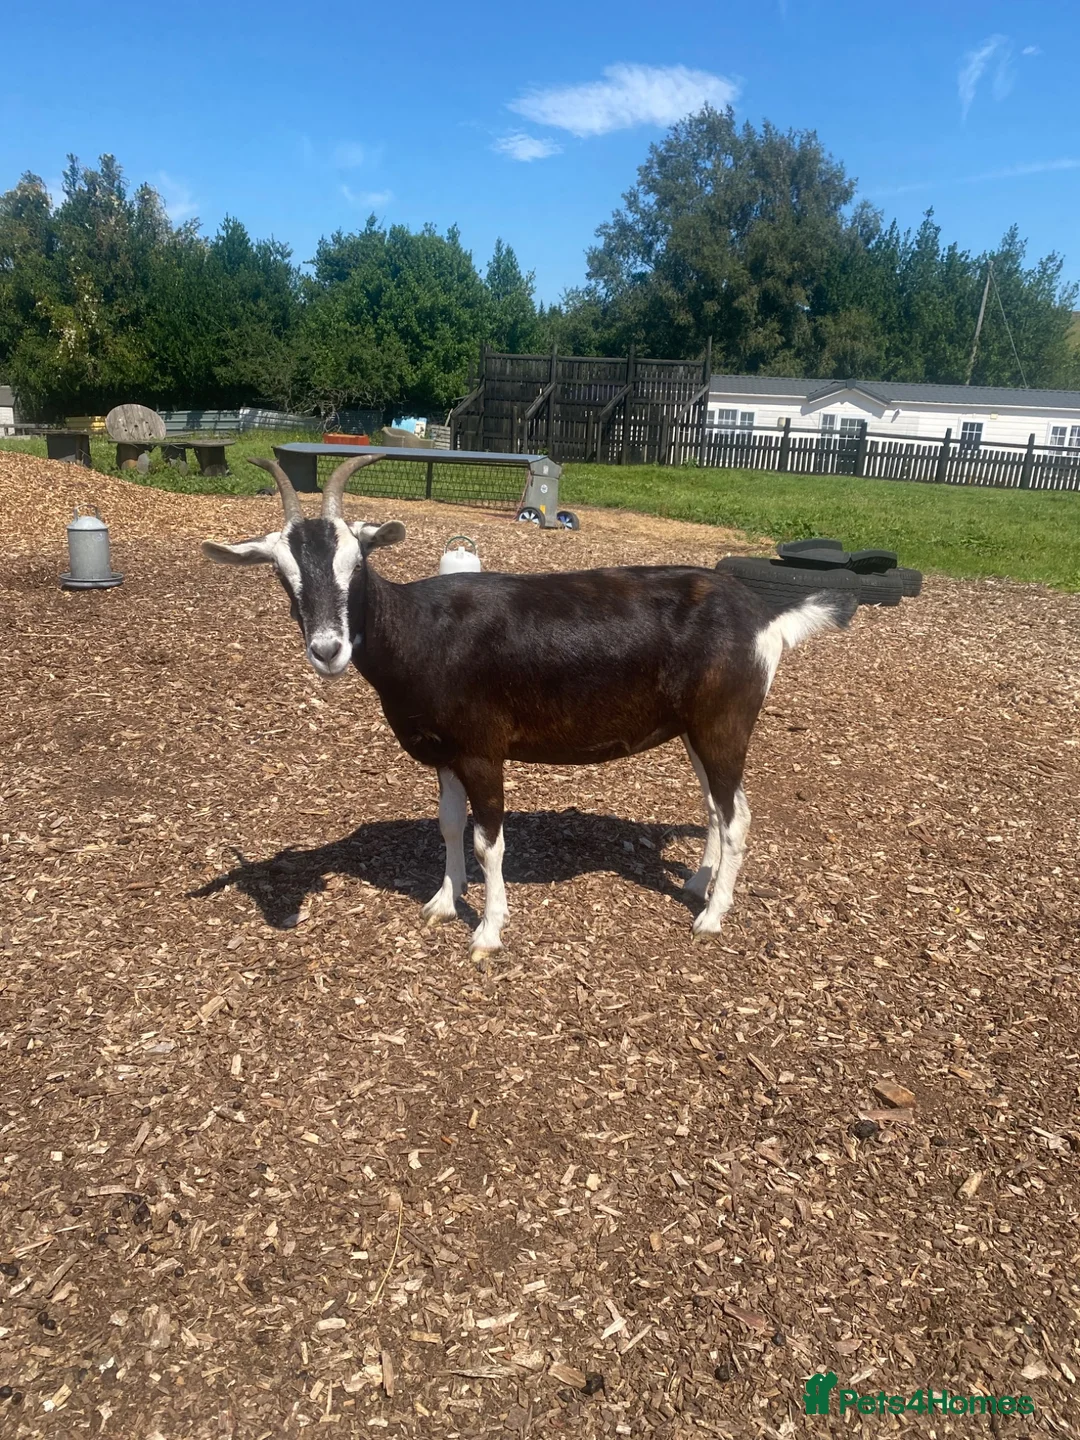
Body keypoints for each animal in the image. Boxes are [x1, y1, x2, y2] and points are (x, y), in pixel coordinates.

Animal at [202, 455, 856, 954]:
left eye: (355, 563)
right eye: (283, 574)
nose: (327, 650)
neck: (421, 632)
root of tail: (766, 620)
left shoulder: (482, 749)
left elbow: (489, 840)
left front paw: (489, 931)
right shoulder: (444, 752)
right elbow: (448, 824)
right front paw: (443, 902)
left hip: (725, 721)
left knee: (737, 815)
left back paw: (711, 916)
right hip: (695, 727)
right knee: (716, 808)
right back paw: (698, 881)